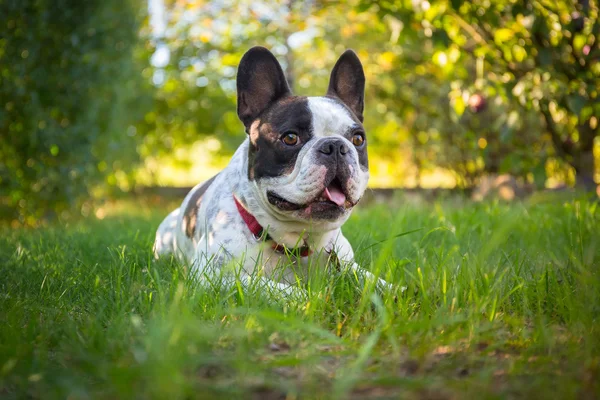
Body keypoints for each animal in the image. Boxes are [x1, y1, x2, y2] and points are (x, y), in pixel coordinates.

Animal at [154, 46, 390, 296]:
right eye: (290, 138)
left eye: (358, 139)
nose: (334, 146)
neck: (298, 242)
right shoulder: (214, 276)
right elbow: (276, 288)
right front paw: (313, 298)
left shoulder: (348, 265)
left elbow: (377, 282)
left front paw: (400, 291)